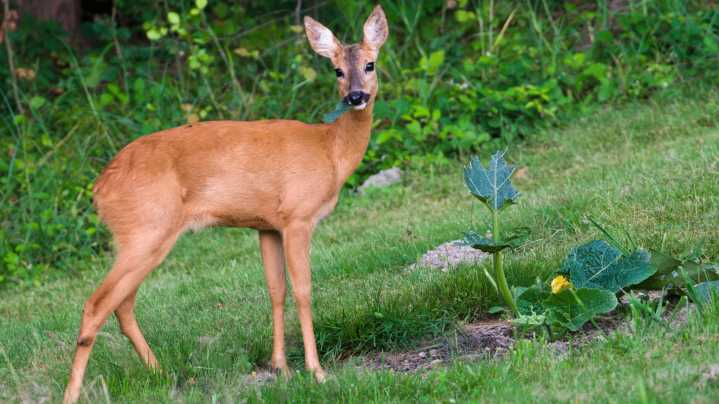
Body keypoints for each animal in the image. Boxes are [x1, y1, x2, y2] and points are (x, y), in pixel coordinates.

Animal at [62, 6, 389, 403]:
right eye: (337, 70)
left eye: (370, 64)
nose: (356, 96)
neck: (330, 152)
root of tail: (99, 188)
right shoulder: (298, 216)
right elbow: (303, 290)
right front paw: (316, 371)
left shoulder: (267, 225)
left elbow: (275, 290)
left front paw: (280, 367)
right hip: (145, 230)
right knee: (97, 304)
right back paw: (75, 392)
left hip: (142, 236)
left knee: (121, 304)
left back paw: (163, 374)